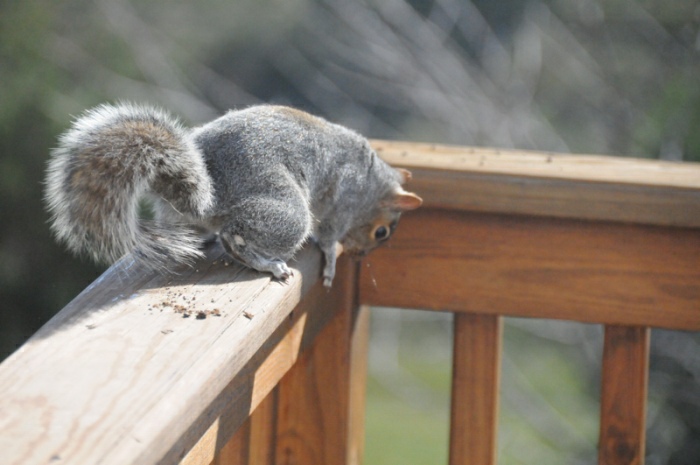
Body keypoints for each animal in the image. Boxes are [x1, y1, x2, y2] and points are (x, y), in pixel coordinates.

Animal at [46, 103, 424, 286]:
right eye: (381, 232)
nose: (361, 256)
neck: (372, 178)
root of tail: (209, 191)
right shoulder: (343, 198)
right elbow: (329, 237)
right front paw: (333, 260)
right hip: (286, 212)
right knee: (235, 236)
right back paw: (268, 264)